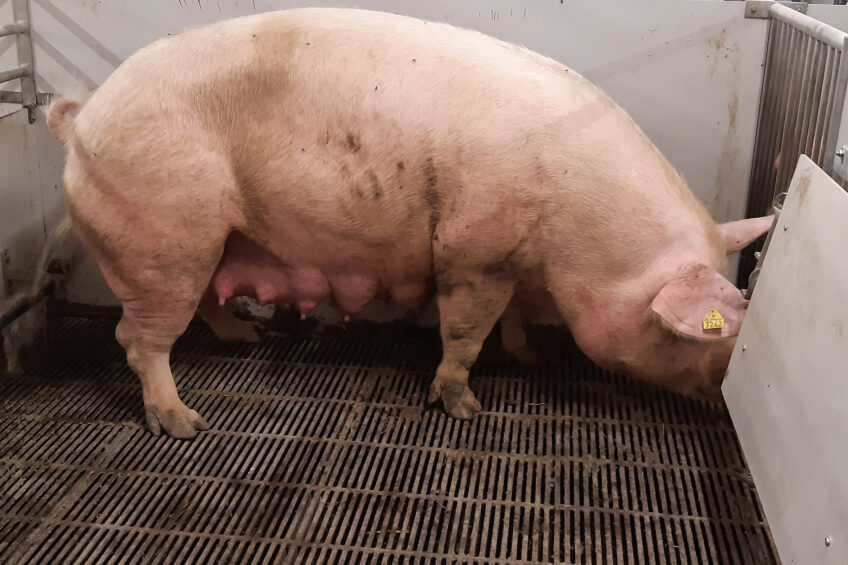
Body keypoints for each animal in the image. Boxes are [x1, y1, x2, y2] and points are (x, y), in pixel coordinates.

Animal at [48, 9, 776, 440]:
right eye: (698, 334)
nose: (725, 392)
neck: (576, 235)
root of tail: (84, 117)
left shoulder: (513, 260)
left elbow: (512, 320)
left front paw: (529, 355)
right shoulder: (472, 253)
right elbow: (464, 334)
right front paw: (466, 407)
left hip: (201, 241)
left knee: (198, 305)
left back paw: (246, 339)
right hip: (159, 237)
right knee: (137, 337)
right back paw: (183, 422)